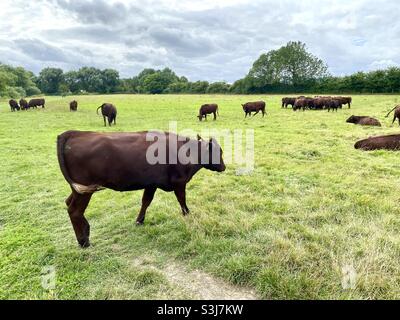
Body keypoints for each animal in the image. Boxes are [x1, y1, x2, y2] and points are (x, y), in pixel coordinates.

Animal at [56, 131, 227, 248]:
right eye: (219, 152)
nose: (224, 167)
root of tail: (75, 133)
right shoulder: (179, 183)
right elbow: (182, 200)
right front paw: (187, 214)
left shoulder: (151, 184)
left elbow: (146, 201)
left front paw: (139, 220)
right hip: (84, 191)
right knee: (74, 211)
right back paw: (83, 240)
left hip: (79, 190)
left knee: (68, 203)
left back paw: (86, 230)